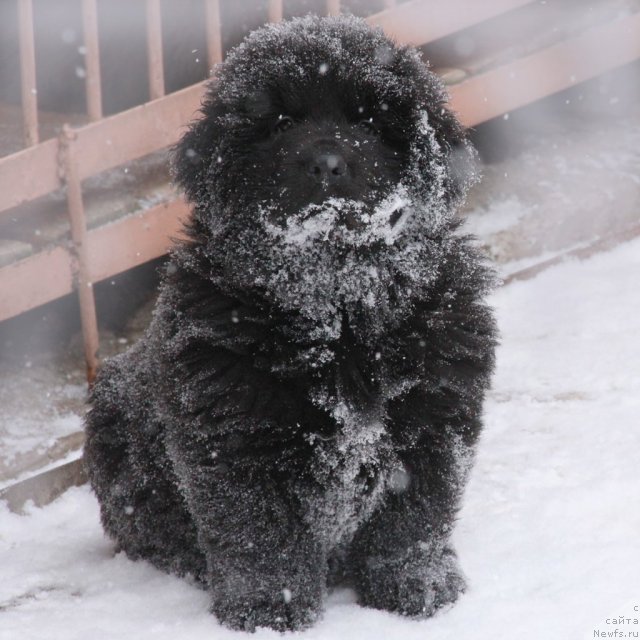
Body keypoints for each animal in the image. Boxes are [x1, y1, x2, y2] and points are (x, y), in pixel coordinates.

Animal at [84, 13, 496, 632]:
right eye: (279, 122)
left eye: (368, 120)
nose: (325, 163)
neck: (337, 302)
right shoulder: (232, 433)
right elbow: (259, 534)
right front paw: (267, 613)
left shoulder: (436, 412)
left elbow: (415, 515)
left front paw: (417, 590)